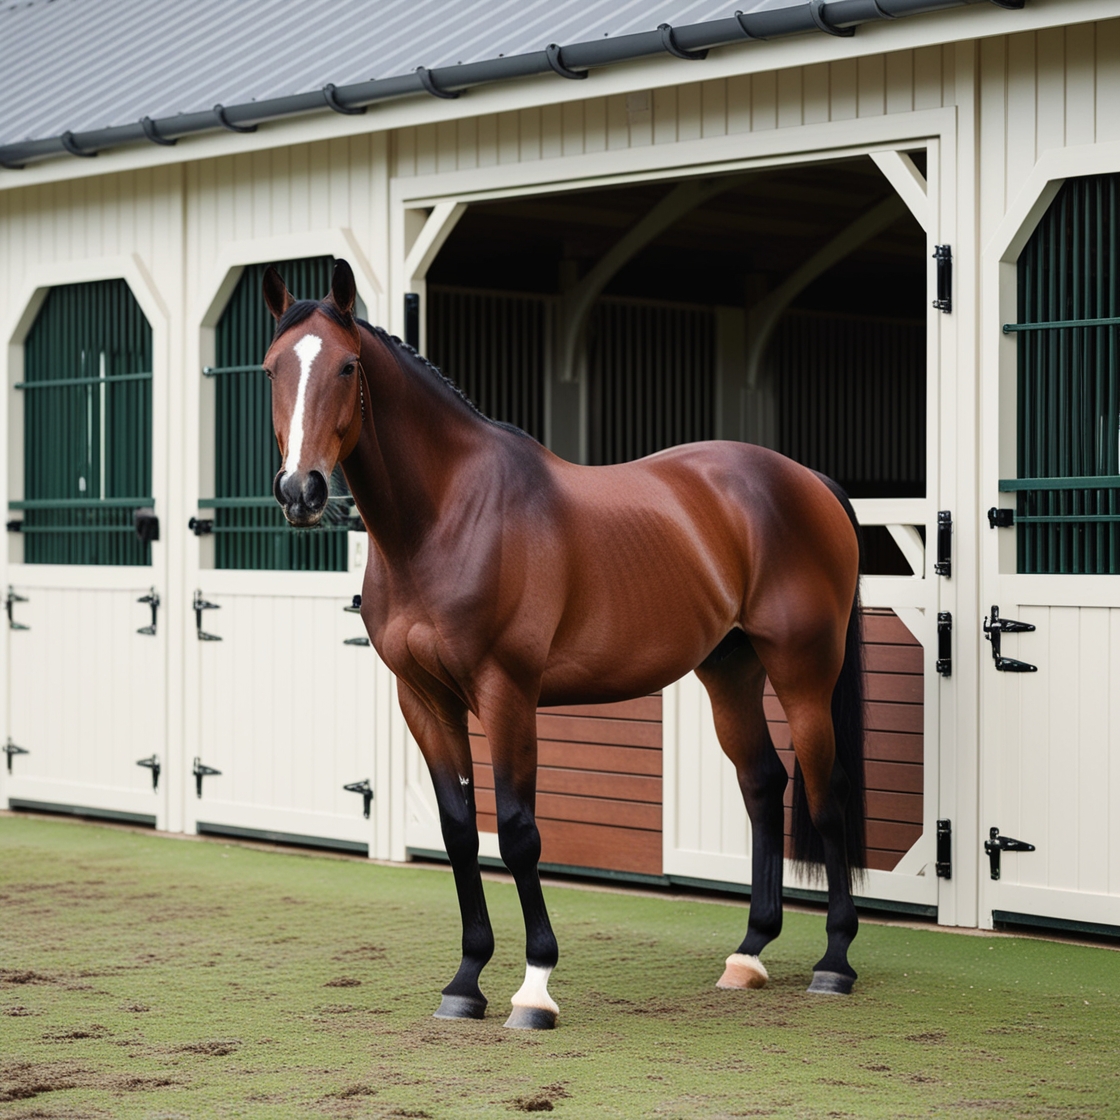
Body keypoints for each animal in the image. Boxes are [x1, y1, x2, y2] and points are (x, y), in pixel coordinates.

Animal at [262, 259, 867, 1029]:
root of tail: (806, 479)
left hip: (804, 670)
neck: (448, 517)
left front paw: (535, 987)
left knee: (826, 793)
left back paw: (835, 961)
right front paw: (466, 982)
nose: (300, 490)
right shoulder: (423, 700)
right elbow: (460, 831)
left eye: (346, 366)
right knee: (763, 785)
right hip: (729, 670)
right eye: (272, 367)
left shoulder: (508, 693)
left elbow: (519, 830)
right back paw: (749, 954)